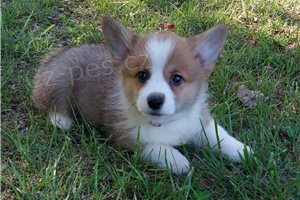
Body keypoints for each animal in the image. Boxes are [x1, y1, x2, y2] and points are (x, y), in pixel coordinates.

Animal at [32, 16, 252, 174]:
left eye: (177, 79)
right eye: (142, 75)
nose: (155, 100)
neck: (166, 122)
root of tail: (59, 53)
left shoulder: (197, 121)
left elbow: (217, 134)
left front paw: (241, 150)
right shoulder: (129, 138)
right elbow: (157, 147)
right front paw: (178, 161)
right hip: (60, 76)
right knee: (47, 101)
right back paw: (62, 120)